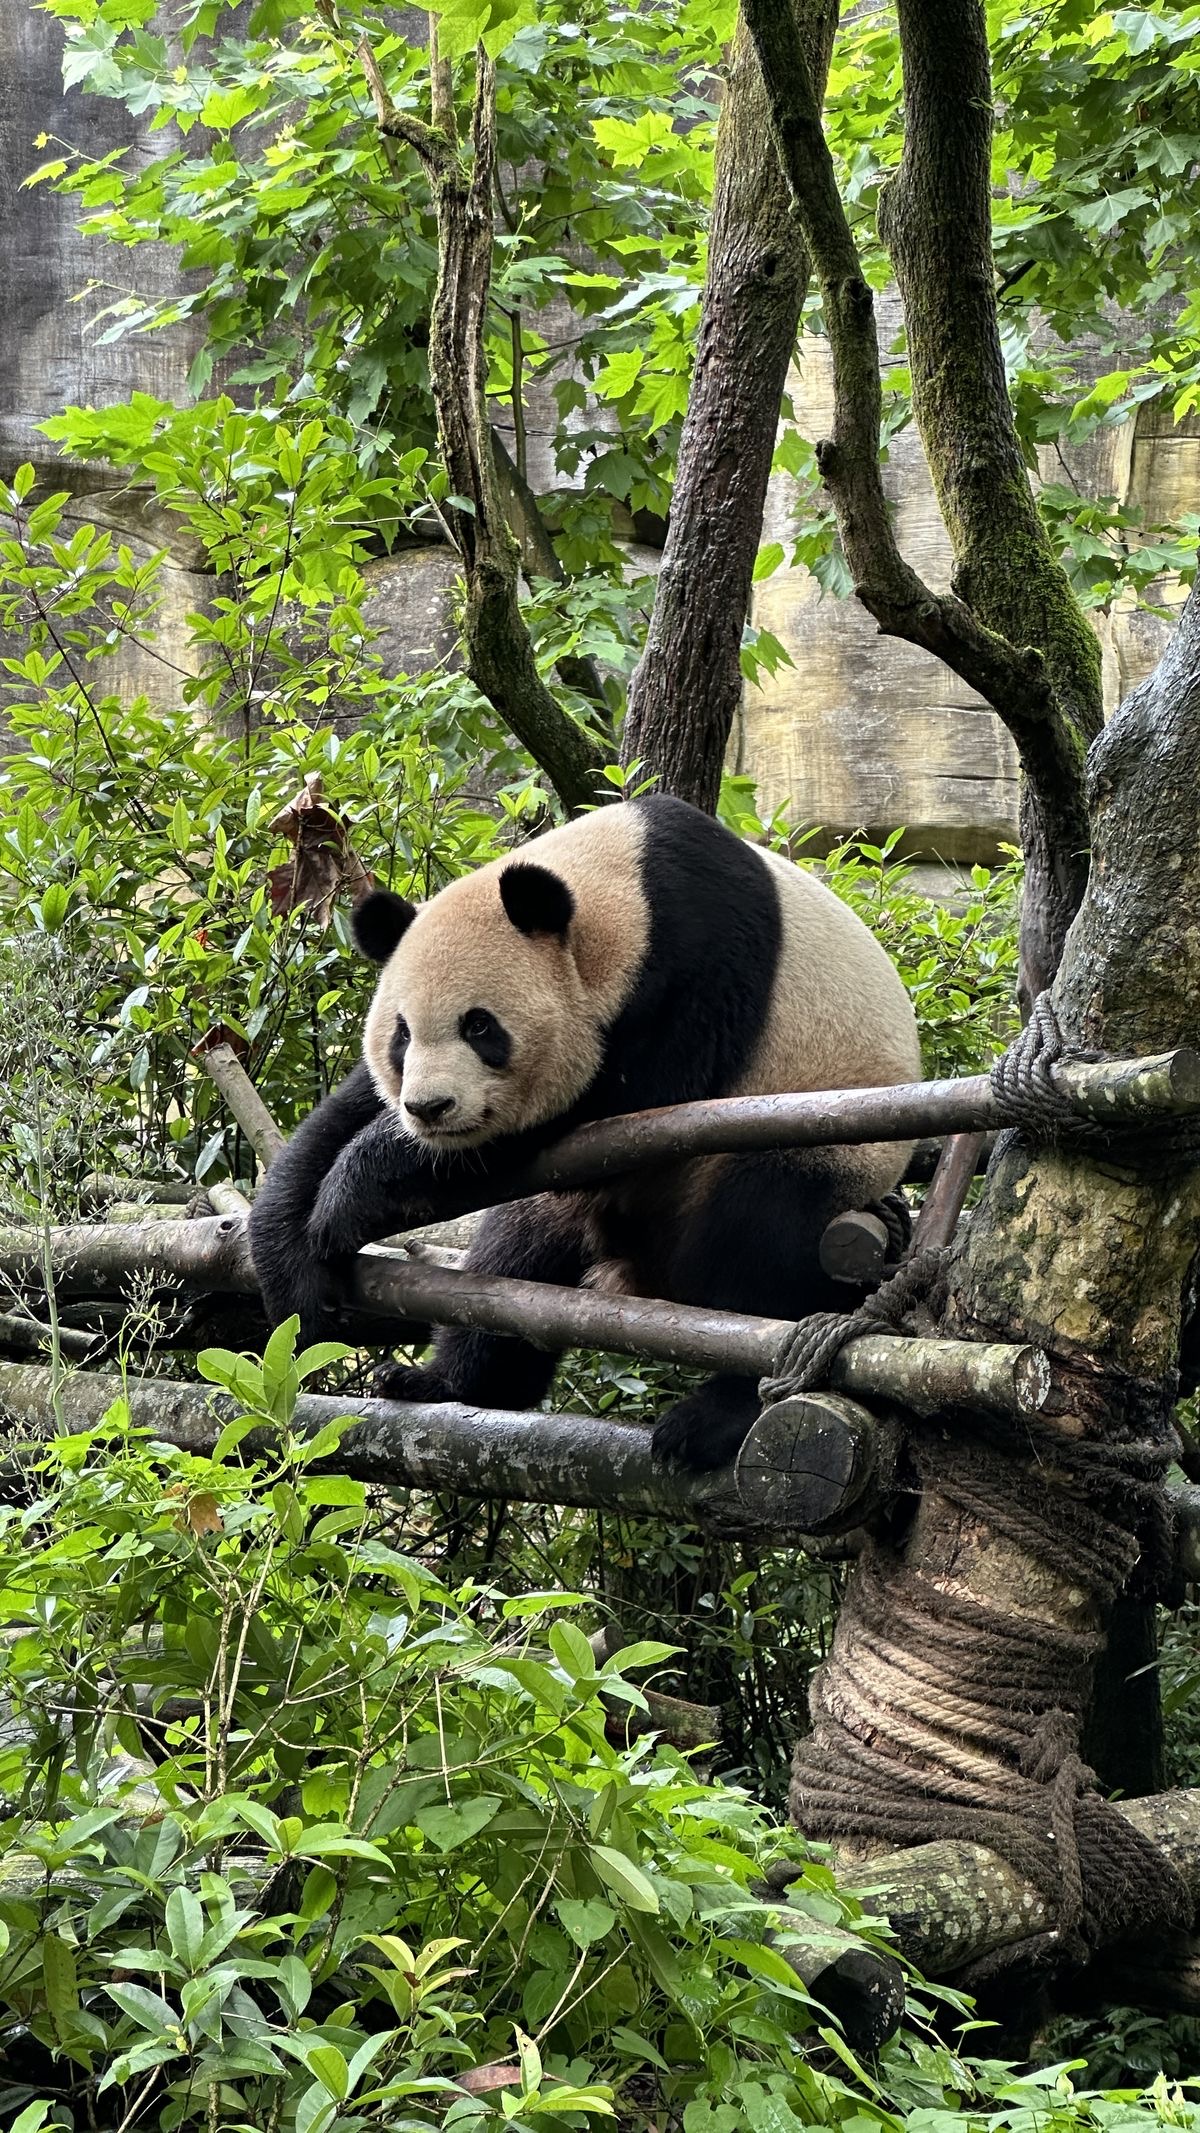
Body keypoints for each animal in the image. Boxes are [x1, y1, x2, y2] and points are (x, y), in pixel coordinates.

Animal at [249, 793, 921, 1471]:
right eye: (402, 1034)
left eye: (480, 1027)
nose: (429, 1108)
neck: (623, 892)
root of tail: (644, 1272)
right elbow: (343, 1113)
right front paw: (296, 1266)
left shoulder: (702, 962)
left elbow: (615, 1099)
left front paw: (354, 1191)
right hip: (568, 1209)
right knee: (513, 1259)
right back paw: (448, 1380)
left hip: (819, 1140)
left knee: (763, 1238)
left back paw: (714, 1418)